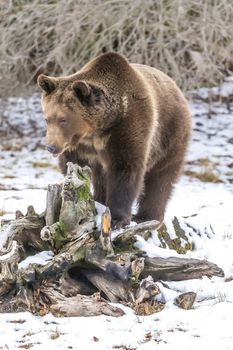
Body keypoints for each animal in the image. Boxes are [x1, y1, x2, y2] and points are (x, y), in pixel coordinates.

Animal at [37, 50, 191, 228]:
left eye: (63, 119)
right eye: (47, 118)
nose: (51, 147)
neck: (97, 130)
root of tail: (177, 88)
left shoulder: (128, 126)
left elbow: (125, 168)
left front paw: (117, 218)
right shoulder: (81, 147)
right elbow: (74, 166)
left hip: (170, 133)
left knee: (161, 177)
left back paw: (148, 217)